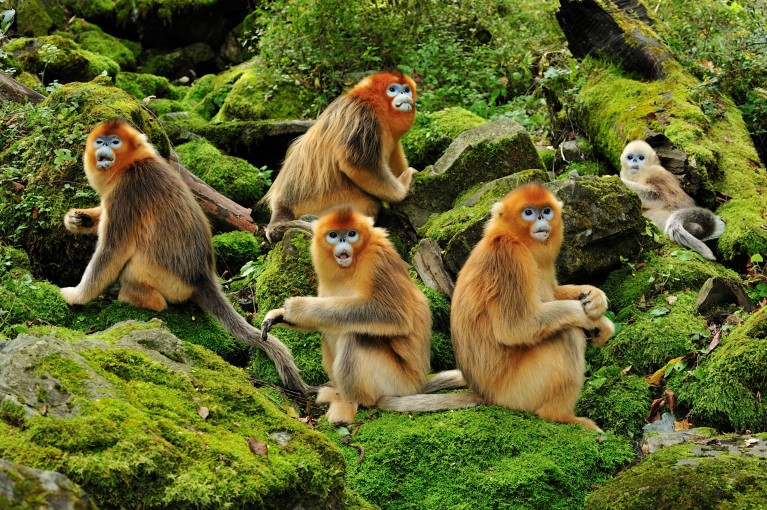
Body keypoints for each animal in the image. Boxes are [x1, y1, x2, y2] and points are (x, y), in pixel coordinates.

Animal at [60, 119, 309, 393]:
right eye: (99, 141)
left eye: (114, 141)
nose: (103, 148)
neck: (132, 164)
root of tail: (203, 278)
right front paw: (79, 219)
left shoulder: (127, 192)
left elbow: (111, 251)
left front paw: (75, 296)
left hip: (167, 280)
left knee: (134, 267)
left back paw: (134, 297)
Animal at [260, 207, 474, 424]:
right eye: (333, 235)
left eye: (351, 234)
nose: (343, 241)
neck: (352, 264)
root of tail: (417, 384)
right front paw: (279, 315)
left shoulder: (377, 260)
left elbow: (392, 315)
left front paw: (298, 307)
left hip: (396, 382)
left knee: (355, 336)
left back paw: (350, 403)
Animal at [263, 71, 418, 242]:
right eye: (393, 89)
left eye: (406, 89)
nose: (404, 94)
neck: (376, 107)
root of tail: (281, 204)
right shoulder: (362, 118)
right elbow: (358, 164)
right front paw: (403, 188)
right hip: (320, 203)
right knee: (369, 204)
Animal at [448, 183, 615, 431]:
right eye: (528, 212)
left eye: (546, 210)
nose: (540, 219)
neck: (517, 238)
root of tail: (483, 393)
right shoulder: (509, 256)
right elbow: (515, 327)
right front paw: (594, 320)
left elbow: (553, 292)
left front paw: (595, 299)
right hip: (517, 392)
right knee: (566, 334)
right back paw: (560, 416)